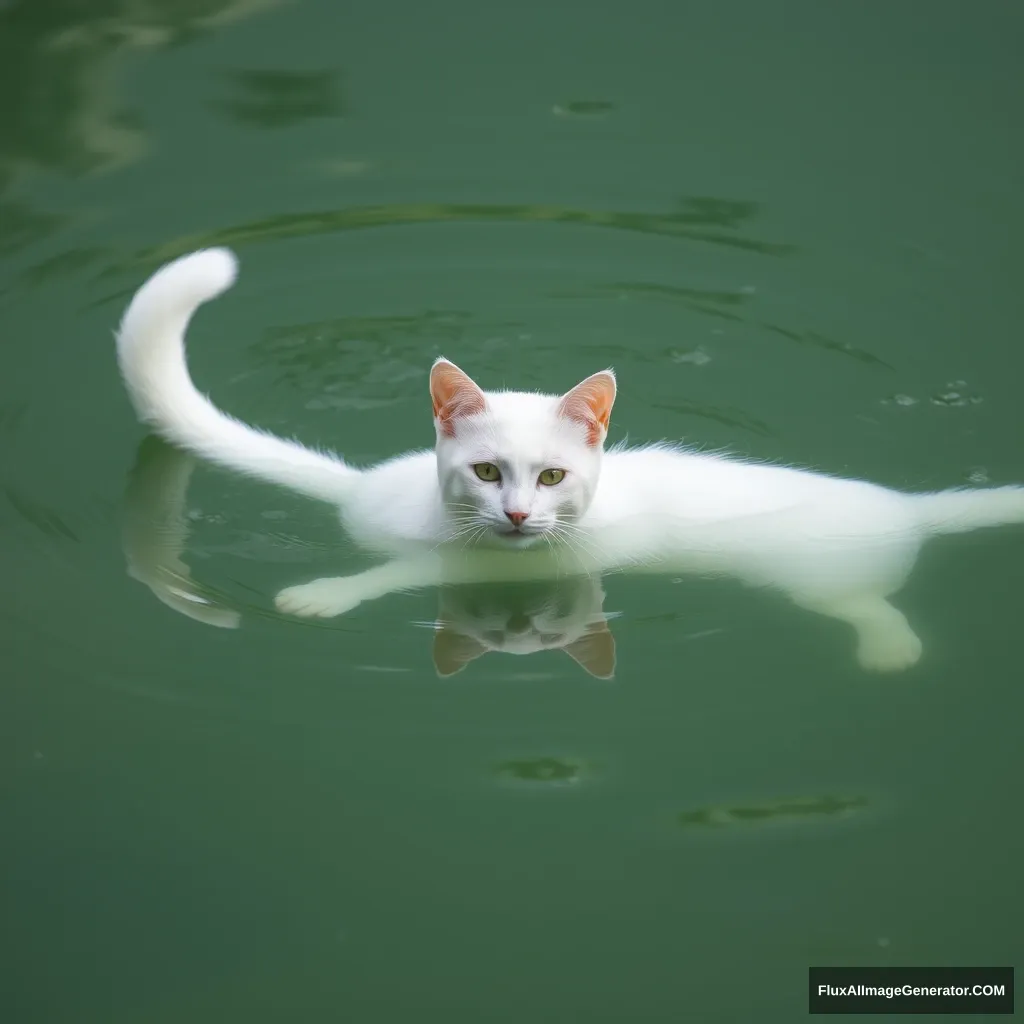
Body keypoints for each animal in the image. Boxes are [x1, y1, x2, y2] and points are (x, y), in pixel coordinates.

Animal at [116, 247, 1024, 671]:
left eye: (553, 476)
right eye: (487, 472)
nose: (518, 514)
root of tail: (905, 505)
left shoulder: (483, 567)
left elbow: (393, 577)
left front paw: (323, 594)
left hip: (823, 579)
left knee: (869, 608)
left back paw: (891, 649)